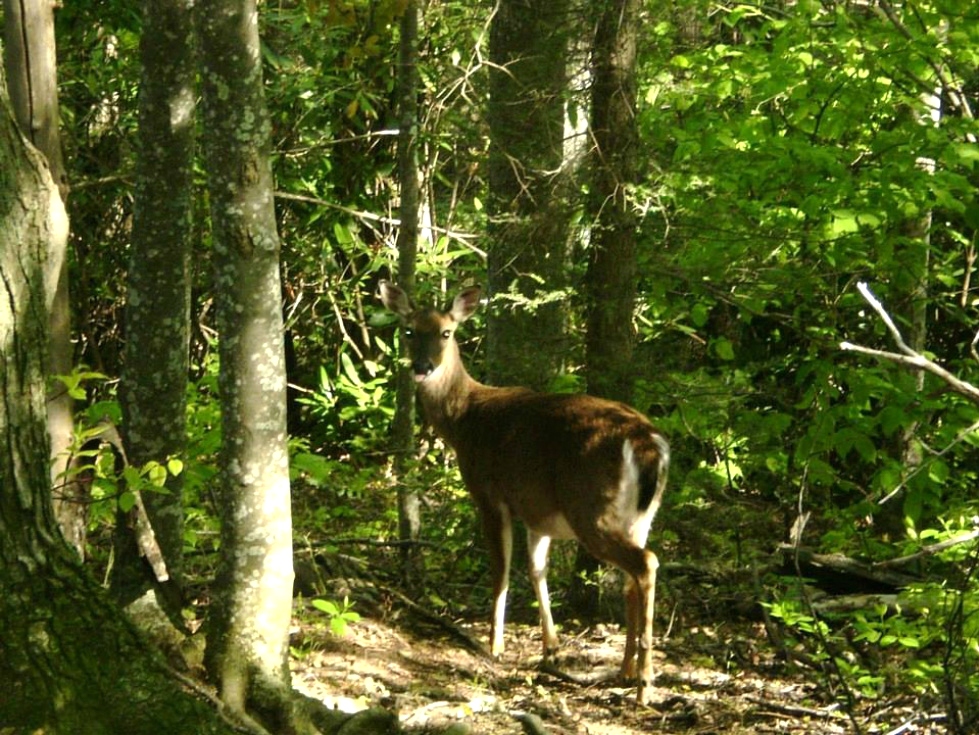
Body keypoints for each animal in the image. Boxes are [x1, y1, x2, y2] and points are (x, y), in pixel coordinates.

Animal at [378, 282, 668, 708]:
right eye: (409, 330)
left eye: (446, 333)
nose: (421, 366)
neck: (464, 420)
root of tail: (647, 442)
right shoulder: (537, 511)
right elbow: (536, 569)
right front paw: (551, 645)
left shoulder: (488, 492)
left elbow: (501, 570)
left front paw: (494, 644)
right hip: (639, 515)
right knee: (632, 578)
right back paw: (626, 669)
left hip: (590, 507)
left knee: (645, 563)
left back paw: (644, 684)